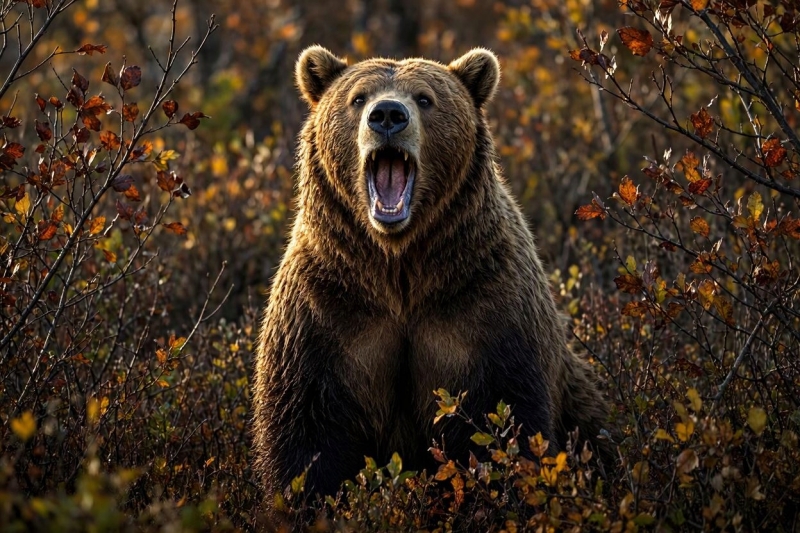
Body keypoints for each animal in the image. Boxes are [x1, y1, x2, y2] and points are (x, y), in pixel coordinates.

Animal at [252, 45, 610, 504]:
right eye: (358, 97)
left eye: (424, 98)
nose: (388, 115)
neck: (399, 267)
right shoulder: (327, 315)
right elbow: (306, 438)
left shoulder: (483, 309)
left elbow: (505, 422)